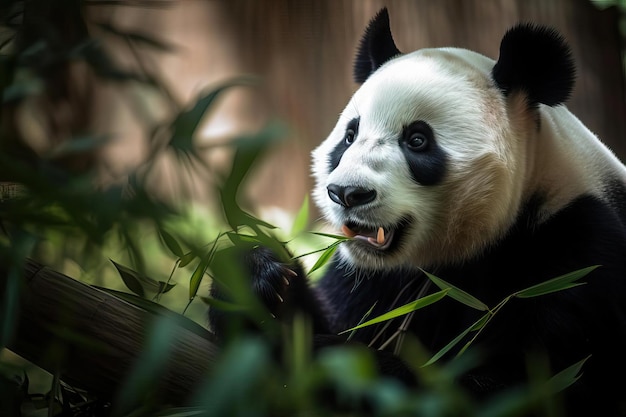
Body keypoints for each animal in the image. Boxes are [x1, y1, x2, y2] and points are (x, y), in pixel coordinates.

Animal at [210, 7, 624, 416]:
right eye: (350, 136)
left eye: (418, 140)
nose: (347, 193)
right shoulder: (372, 278)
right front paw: (256, 275)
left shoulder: (577, 251)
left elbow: (528, 386)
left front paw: (329, 358)